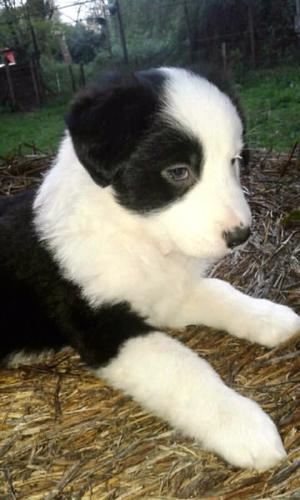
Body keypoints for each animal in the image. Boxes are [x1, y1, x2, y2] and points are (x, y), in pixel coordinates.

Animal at [0, 67, 300, 468]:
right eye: (179, 171)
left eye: (234, 161)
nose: (241, 235)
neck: (135, 235)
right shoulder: (107, 328)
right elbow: (181, 367)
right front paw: (243, 425)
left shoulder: (165, 294)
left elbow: (220, 291)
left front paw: (270, 316)